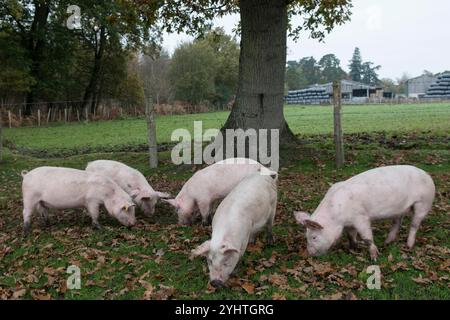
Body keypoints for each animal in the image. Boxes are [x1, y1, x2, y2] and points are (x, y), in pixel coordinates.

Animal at [294, 165, 434, 260]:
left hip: (423, 203)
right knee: (397, 221)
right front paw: (353, 249)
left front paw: (374, 258)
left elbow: (367, 237)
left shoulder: (360, 217)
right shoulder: (349, 224)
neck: (336, 216)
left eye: (314, 237)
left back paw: (409, 246)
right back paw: (387, 242)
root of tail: (427, 175)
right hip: (400, 209)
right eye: (306, 236)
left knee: (414, 225)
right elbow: (351, 235)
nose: (309, 254)